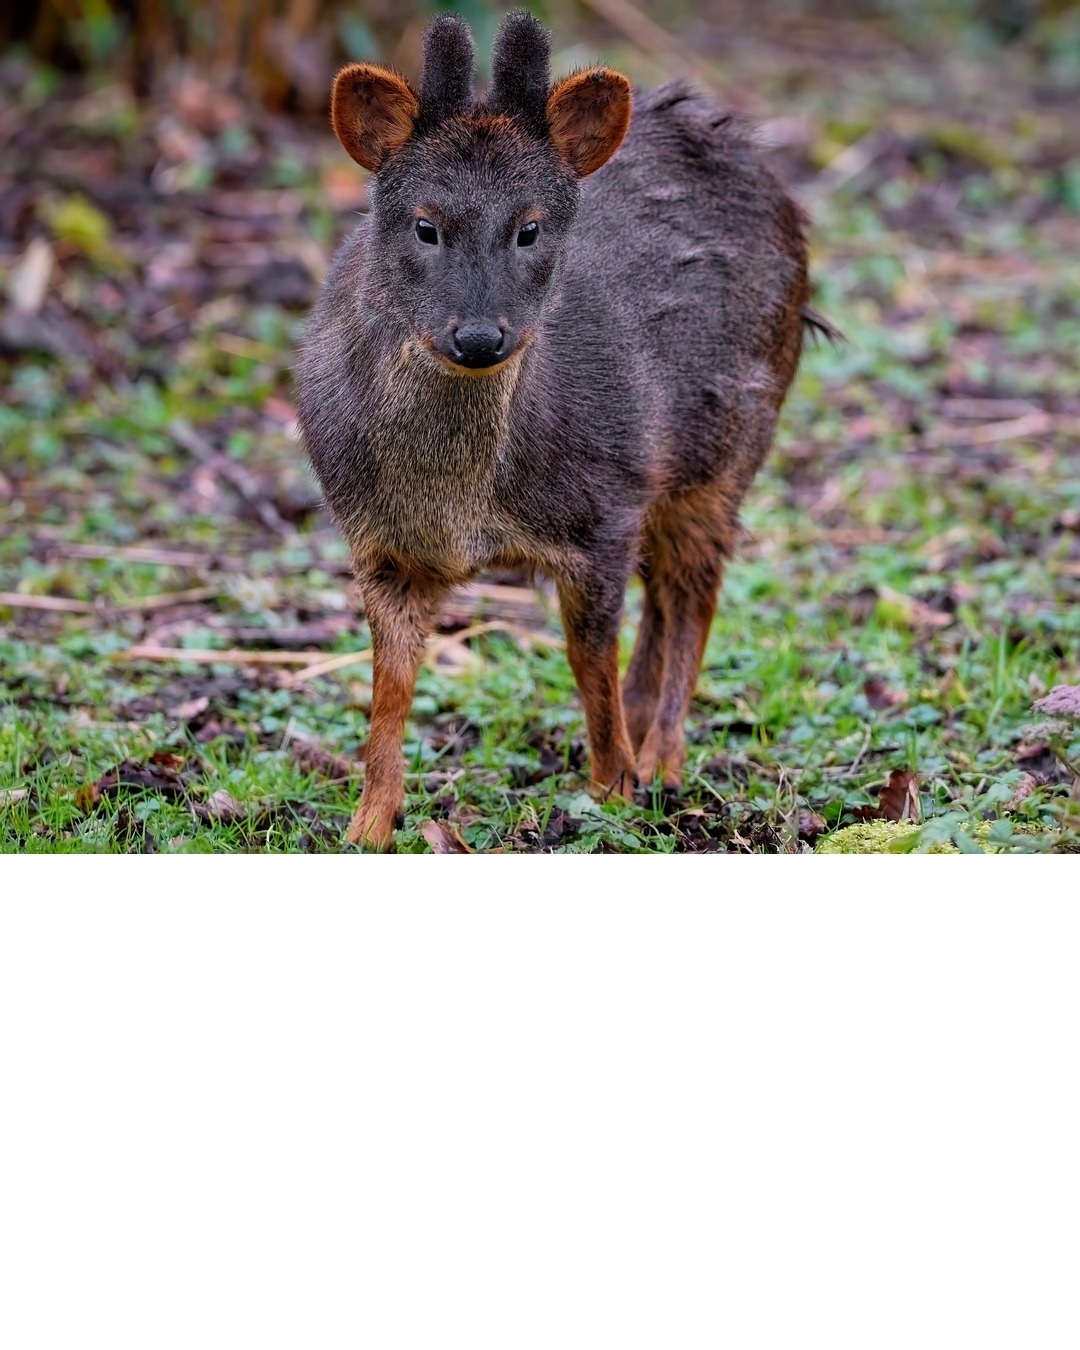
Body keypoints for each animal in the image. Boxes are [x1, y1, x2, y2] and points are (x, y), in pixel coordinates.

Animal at [296, 8, 827, 850]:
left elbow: (588, 659)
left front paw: (614, 787)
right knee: (668, 592)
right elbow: (390, 683)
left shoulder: (604, 507)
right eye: (424, 225)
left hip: (729, 443)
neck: (460, 505)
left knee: (694, 590)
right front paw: (368, 823)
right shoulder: (378, 543)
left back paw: (663, 758)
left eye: (531, 228)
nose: (480, 336)